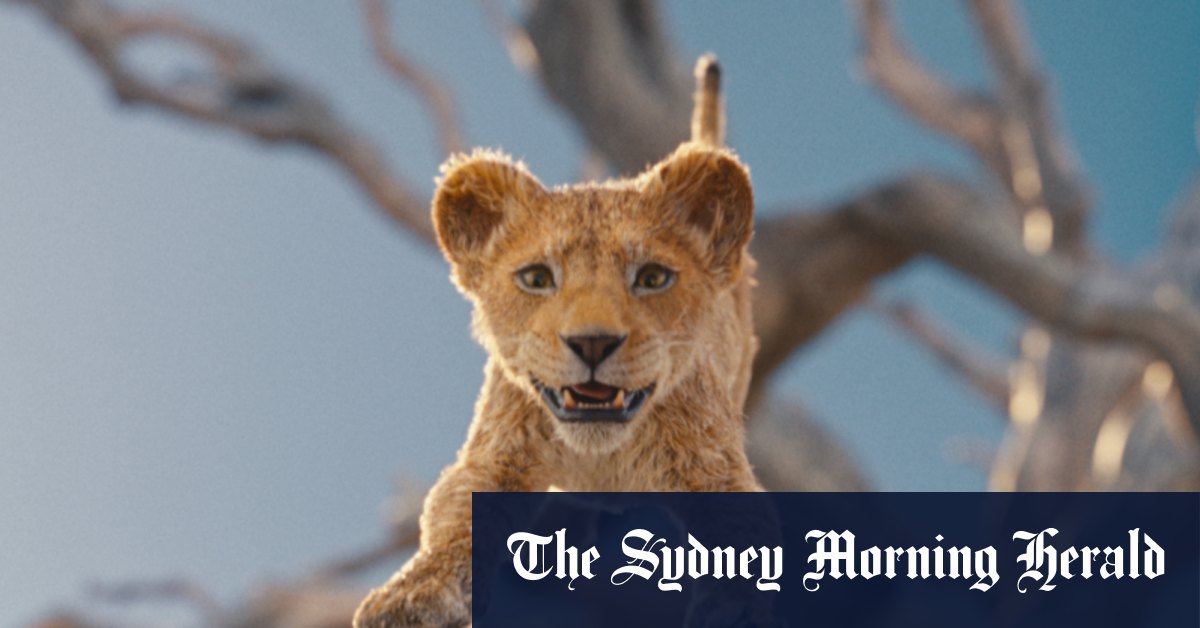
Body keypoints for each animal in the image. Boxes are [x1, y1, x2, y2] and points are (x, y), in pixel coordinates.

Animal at [354, 55, 762, 628]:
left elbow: (741, 548)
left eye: (653, 278)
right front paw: (415, 593)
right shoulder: (495, 456)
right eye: (537, 278)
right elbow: (455, 523)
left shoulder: (715, 467)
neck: (602, 455)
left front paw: (731, 612)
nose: (592, 344)